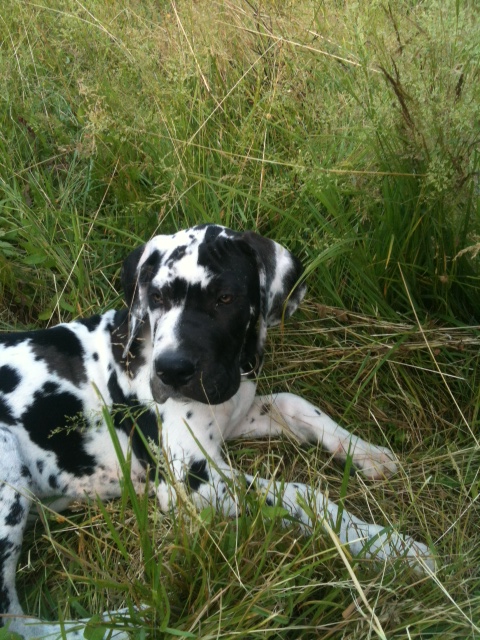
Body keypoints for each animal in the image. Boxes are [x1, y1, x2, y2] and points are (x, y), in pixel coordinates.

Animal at [0, 225, 434, 640]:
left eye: (225, 298)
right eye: (156, 298)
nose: (170, 371)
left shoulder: (238, 411)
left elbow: (296, 404)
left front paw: (368, 453)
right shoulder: (195, 481)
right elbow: (302, 494)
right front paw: (391, 545)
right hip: (9, 472)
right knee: (16, 622)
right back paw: (130, 621)